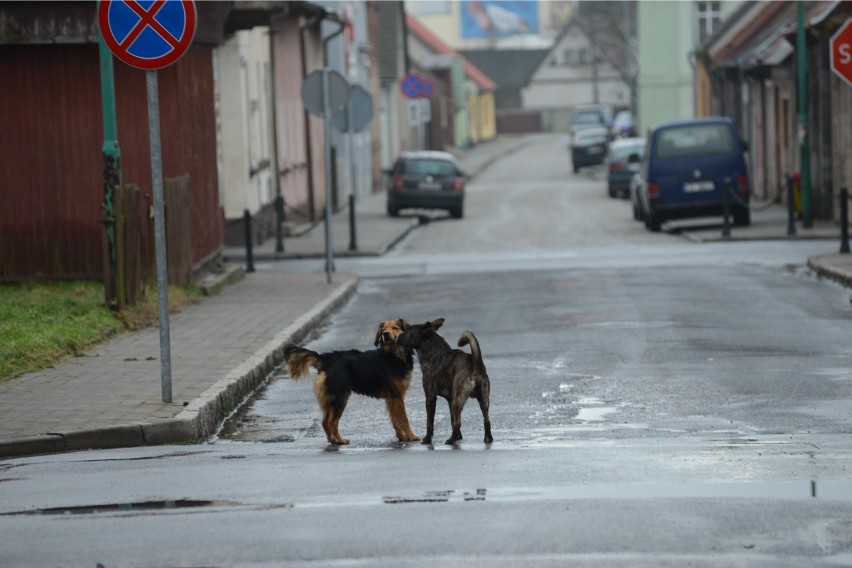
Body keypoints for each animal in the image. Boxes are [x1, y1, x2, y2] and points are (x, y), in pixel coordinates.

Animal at [284, 320, 422, 444]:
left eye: (395, 327)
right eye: (384, 329)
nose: (385, 334)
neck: (393, 355)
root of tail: (326, 359)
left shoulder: (391, 399)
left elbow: (395, 420)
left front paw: (401, 437)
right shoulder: (397, 396)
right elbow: (404, 419)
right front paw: (411, 436)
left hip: (333, 398)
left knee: (325, 421)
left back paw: (332, 440)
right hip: (340, 399)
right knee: (332, 421)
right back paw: (339, 440)